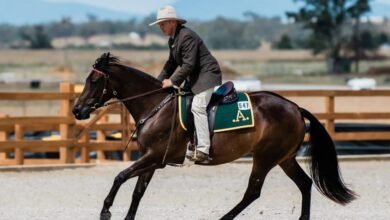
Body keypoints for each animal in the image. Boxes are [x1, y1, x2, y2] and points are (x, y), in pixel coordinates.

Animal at [73, 53, 356, 220]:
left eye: (94, 82)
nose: (77, 110)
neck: (155, 106)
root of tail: (295, 107)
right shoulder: (151, 160)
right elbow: (137, 192)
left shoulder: (154, 157)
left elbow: (120, 177)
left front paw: (106, 209)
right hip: (284, 158)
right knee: (304, 184)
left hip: (265, 157)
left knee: (253, 192)